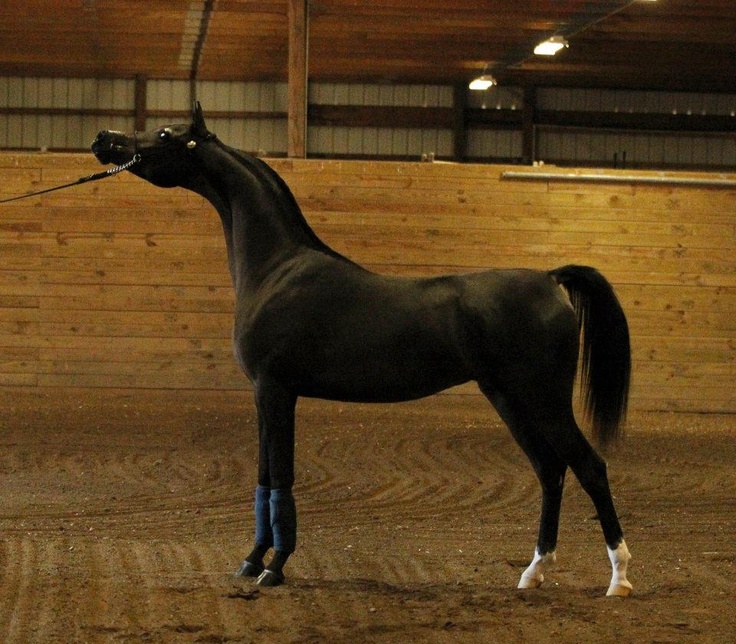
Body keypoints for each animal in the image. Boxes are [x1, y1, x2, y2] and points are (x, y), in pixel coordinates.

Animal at [91, 102, 633, 596]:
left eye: (165, 133)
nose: (105, 139)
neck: (276, 268)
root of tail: (549, 279)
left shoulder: (276, 390)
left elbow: (281, 476)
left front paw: (275, 566)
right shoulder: (265, 396)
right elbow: (265, 476)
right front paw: (251, 560)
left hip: (543, 400)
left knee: (590, 467)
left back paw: (619, 578)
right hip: (508, 399)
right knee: (550, 471)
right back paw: (533, 572)